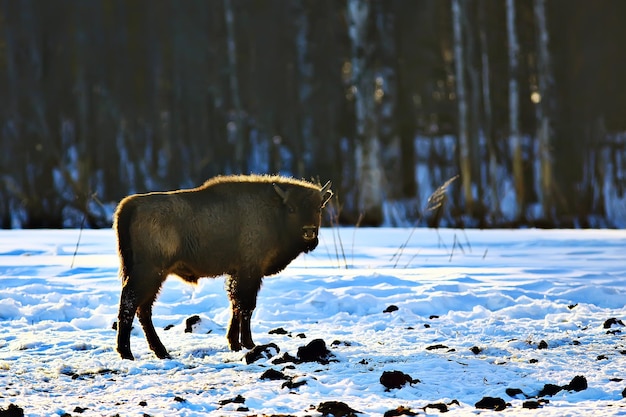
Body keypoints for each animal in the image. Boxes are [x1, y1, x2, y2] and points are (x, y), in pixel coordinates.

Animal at [112, 174, 332, 360]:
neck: (275, 212)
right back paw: (127, 353)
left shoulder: (237, 273)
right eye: (292, 208)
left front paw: (234, 343)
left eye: (318, 208)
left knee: (143, 309)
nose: (309, 231)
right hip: (150, 272)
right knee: (130, 303)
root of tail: (132, 203)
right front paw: (248, 343)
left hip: (152, 275)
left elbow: (235, 304)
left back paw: (160, 351)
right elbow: (246, 305)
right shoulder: (250, 271)